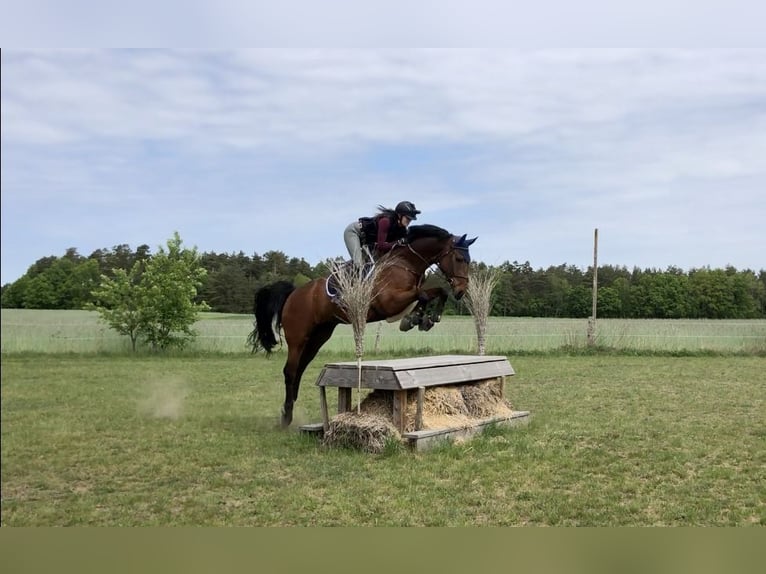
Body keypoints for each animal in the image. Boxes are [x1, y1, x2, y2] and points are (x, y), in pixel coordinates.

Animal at [252, 225, 476, 428]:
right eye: (459, 259)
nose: (461, 291)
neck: (405, 263)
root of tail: (294, 292)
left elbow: (435, 292)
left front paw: (424, 318)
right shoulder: (389, 302)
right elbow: (422, 294)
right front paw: (416, 319)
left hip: (318, 336)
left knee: (300, 368)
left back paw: (288, 407)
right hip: (298, 337)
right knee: (290, 371)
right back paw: (286, 417)